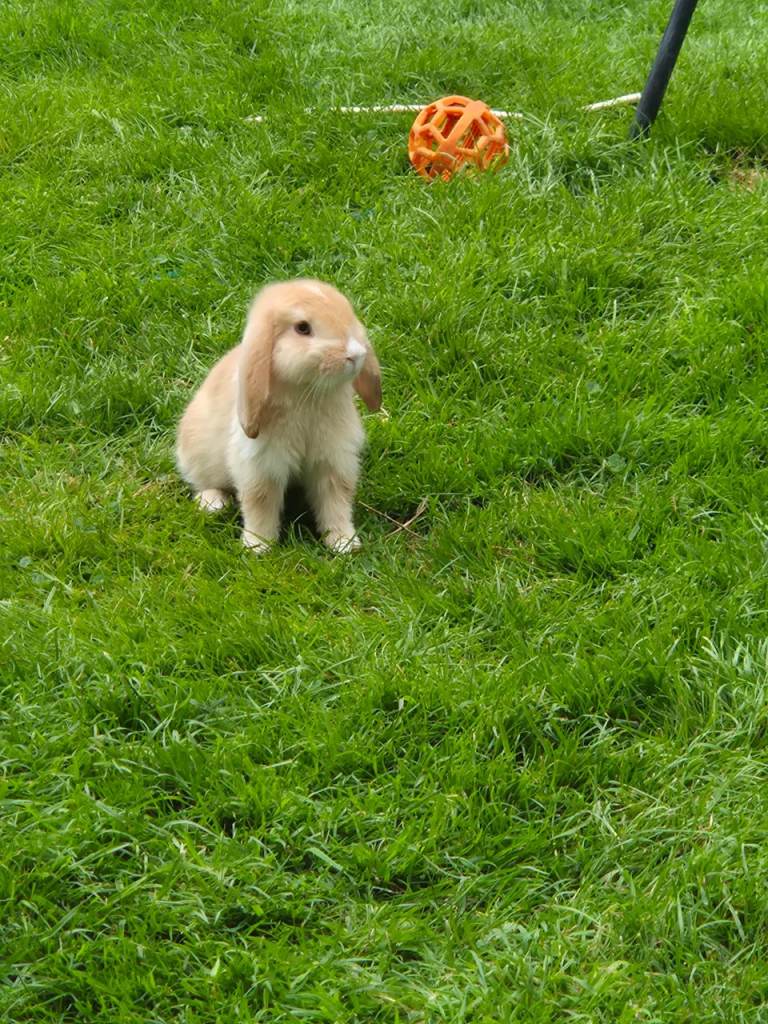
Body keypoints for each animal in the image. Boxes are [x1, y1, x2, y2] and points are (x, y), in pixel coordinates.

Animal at [176, 279, 381, 554]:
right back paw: (212, 503)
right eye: (302, 328)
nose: (356, 354)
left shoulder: (333, 459)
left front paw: (344, 543)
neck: (306, 395)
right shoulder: (260, 465)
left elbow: (336, 501)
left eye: (347, 312)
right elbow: (260, 503)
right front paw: (258, 547)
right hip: (199, 458)